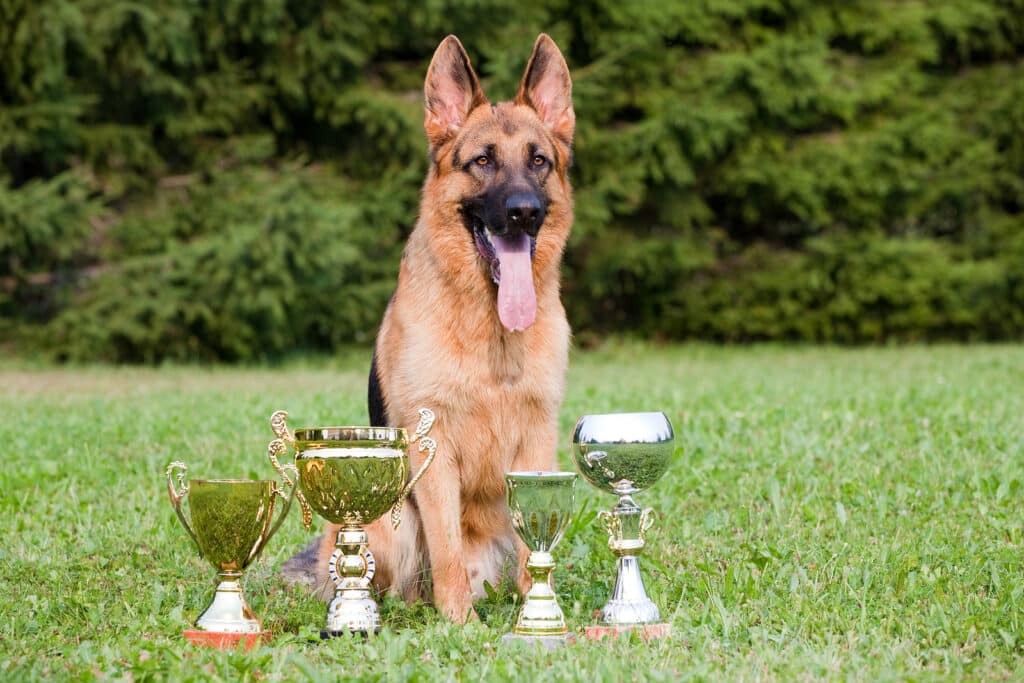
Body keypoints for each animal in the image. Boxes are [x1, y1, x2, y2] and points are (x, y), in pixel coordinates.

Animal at [284, 33, 577, 626]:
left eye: (538, 161)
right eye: (482, 161)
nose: (524, 212)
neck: (490, 331)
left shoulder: (538, 441)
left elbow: (531, 551)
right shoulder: (433, 448)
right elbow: (445, 547)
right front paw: (460, 625)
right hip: (383, 521)